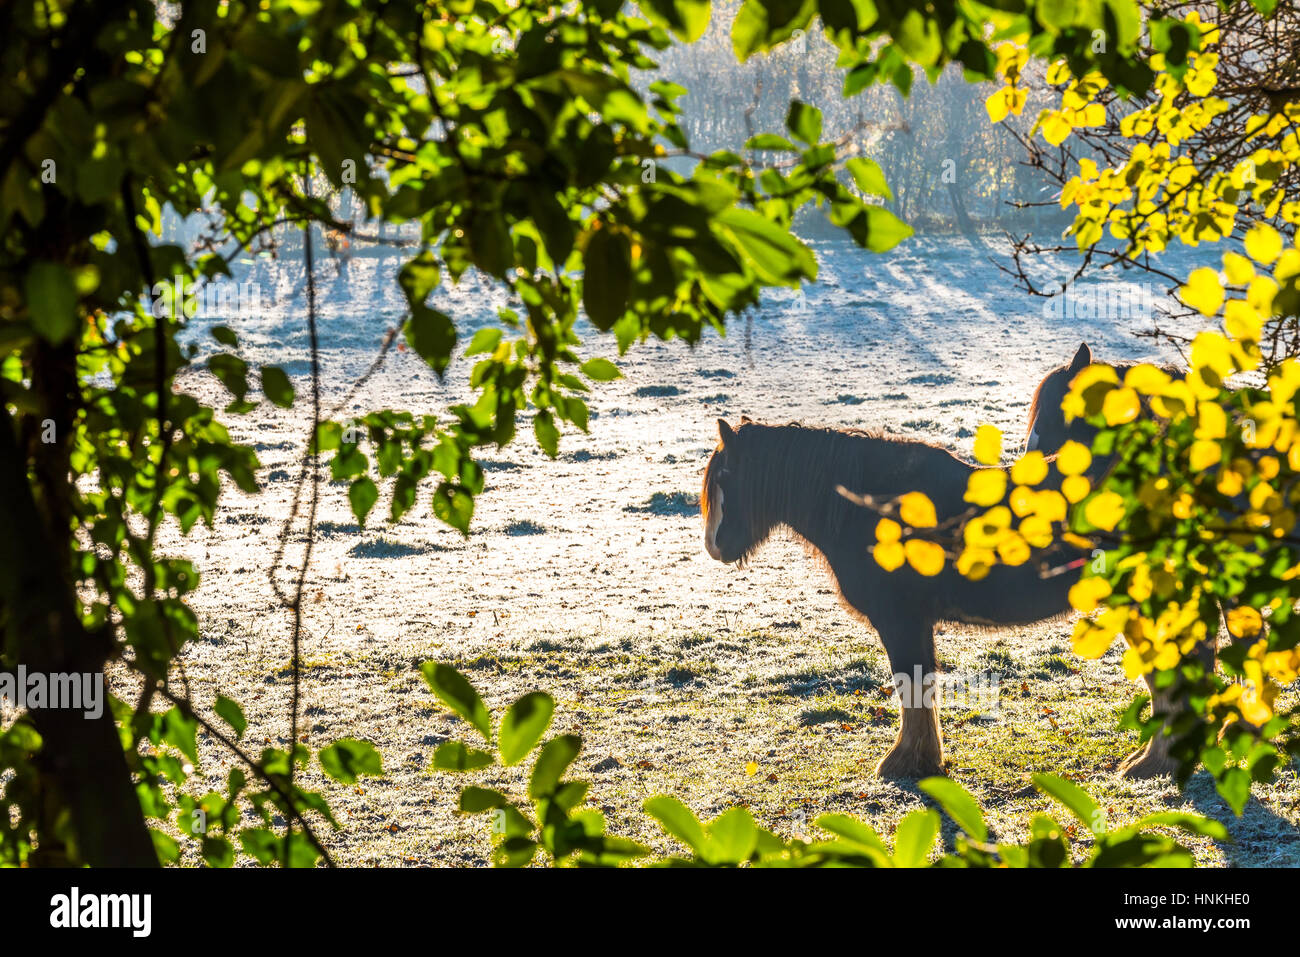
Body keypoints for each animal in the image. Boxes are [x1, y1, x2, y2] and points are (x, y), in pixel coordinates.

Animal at [701, 416, 1085, 778]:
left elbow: (910, 682)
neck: (871, 510)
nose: (714, 547)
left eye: (724, 476)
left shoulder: (900, 621)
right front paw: (924, 758)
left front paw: (905, 761)